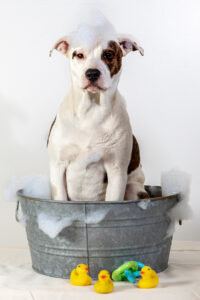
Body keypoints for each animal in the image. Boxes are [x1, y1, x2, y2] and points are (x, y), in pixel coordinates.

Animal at [47, 21, 148, 202]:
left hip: (135, 190)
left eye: (108, 54)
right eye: (79, 55)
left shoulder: (116, 170)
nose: (92, 73)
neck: (90, 111)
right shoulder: (57, 167)